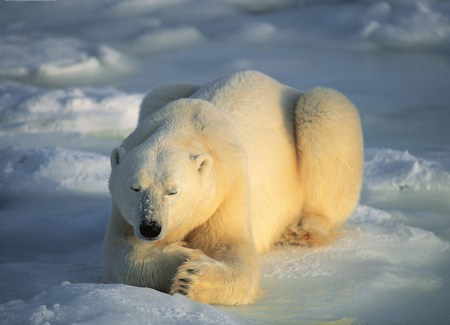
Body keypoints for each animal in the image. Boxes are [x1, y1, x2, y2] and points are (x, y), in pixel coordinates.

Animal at [102, 70, 362, 304]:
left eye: (173, 191)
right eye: (135, 188)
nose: (150, 227)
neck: (185, 127)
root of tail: (281, 84)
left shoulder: (229, 186)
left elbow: (234, 249)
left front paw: (191, 277)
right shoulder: (124, 212)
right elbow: (119, 252)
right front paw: (181, 255)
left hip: (316, 117)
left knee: (323, 113)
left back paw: (303, 230)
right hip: (162, 94)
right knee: (159, 91)